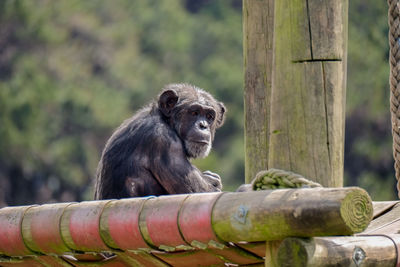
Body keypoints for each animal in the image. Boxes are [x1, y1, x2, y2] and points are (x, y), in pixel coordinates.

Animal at [94, 84, 225, 201]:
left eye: (209, 116)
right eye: (194, 113)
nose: (203, 125)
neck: (167, 121)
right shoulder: (166, 143)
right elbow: (202, 192)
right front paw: (212, 180)